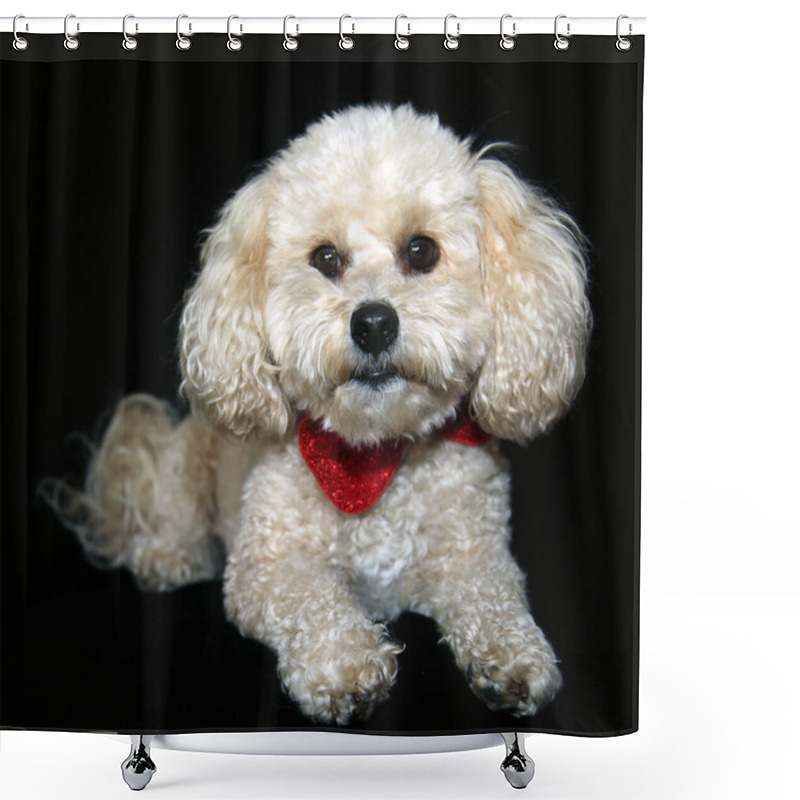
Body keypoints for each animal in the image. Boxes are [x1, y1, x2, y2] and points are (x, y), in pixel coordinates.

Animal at [51, 104, 588, 724]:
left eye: (422, 250)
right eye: (326, 258)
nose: (374, 323)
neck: (377, 453)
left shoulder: (475, 554)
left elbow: (495, 594)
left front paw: (514, 653)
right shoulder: (265, 564)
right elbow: (312, 597)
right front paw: (346, 664)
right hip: (188, 464)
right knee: (173, 518)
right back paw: (168, 554)